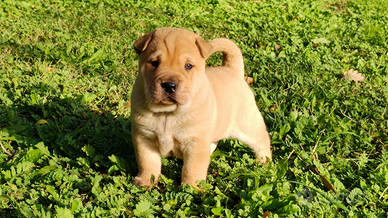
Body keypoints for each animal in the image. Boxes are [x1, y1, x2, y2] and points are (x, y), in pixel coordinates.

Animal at [132, 27, 272, 189]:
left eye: (188, 66)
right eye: (154, 63)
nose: (169, 85)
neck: (167, 114)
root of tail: (232, 70)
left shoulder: (195, 142)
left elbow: (192, 168)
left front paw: (191, 187)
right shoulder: (144, 137)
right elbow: (147, 162)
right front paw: (145, 181)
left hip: (248, 125)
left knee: (262, 141)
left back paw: (265, 164)